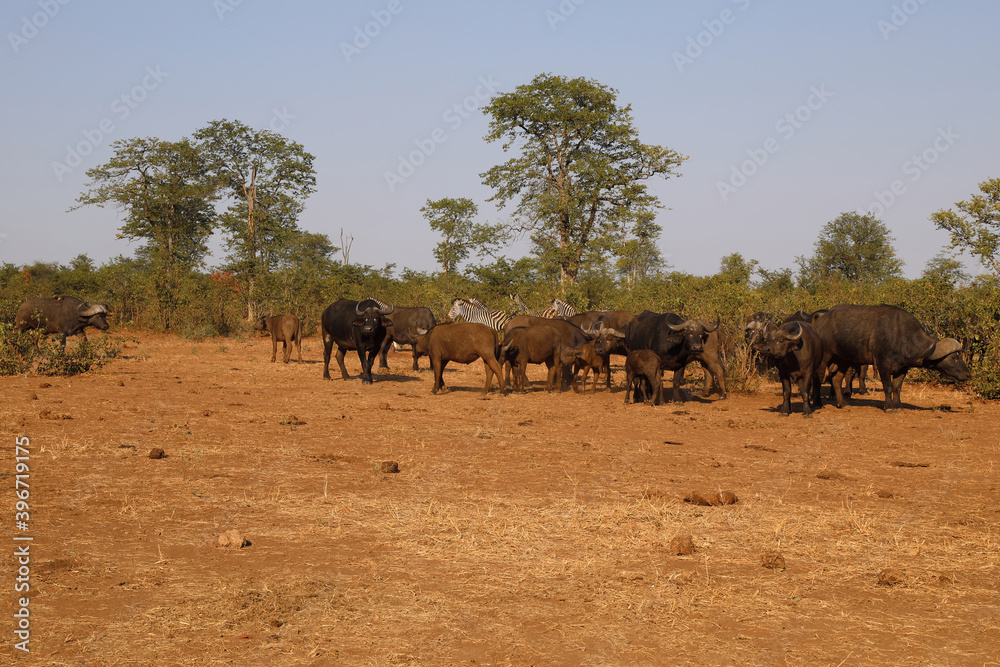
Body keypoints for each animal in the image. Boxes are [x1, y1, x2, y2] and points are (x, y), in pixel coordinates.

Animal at [811, 304, 971, 411]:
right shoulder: (883, 366)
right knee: (818, 378)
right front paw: (888, 406)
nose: (968, 375)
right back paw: (817, 402)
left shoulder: (903, 368)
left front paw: (898, 406)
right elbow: (887, 386)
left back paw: (843, 404)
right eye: (954, 357)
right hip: (825, 358)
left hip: (843, 360)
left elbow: (897, 387)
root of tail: (819, 324)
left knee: (836, 379)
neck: (901, 337)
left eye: (959, 355)